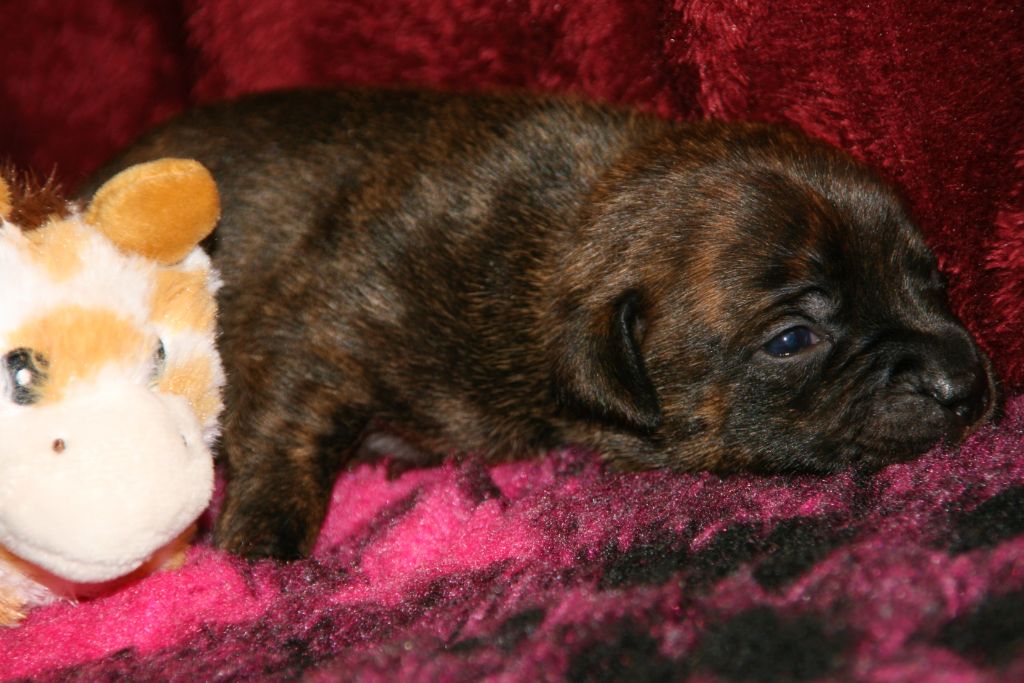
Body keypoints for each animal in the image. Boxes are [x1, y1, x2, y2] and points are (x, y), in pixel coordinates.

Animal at [82, 88, 998, 560]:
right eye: (793, 340)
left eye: (934, 280)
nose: (966, 383)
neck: (551, 246)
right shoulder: (326, 326)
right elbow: (289, 428)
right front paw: (261, 538)